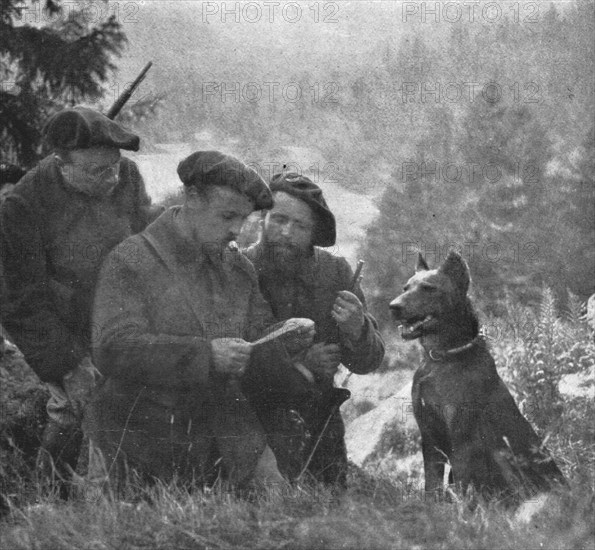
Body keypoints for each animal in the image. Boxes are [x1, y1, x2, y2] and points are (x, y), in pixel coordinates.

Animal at [388, 252, 564, 506]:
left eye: (429, 288)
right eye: (405, 287)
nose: (393, 307)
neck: (441, 357)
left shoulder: (462, 439)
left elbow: (462, 484)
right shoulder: (429, 436)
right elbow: (432, 485)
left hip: (506, 459)